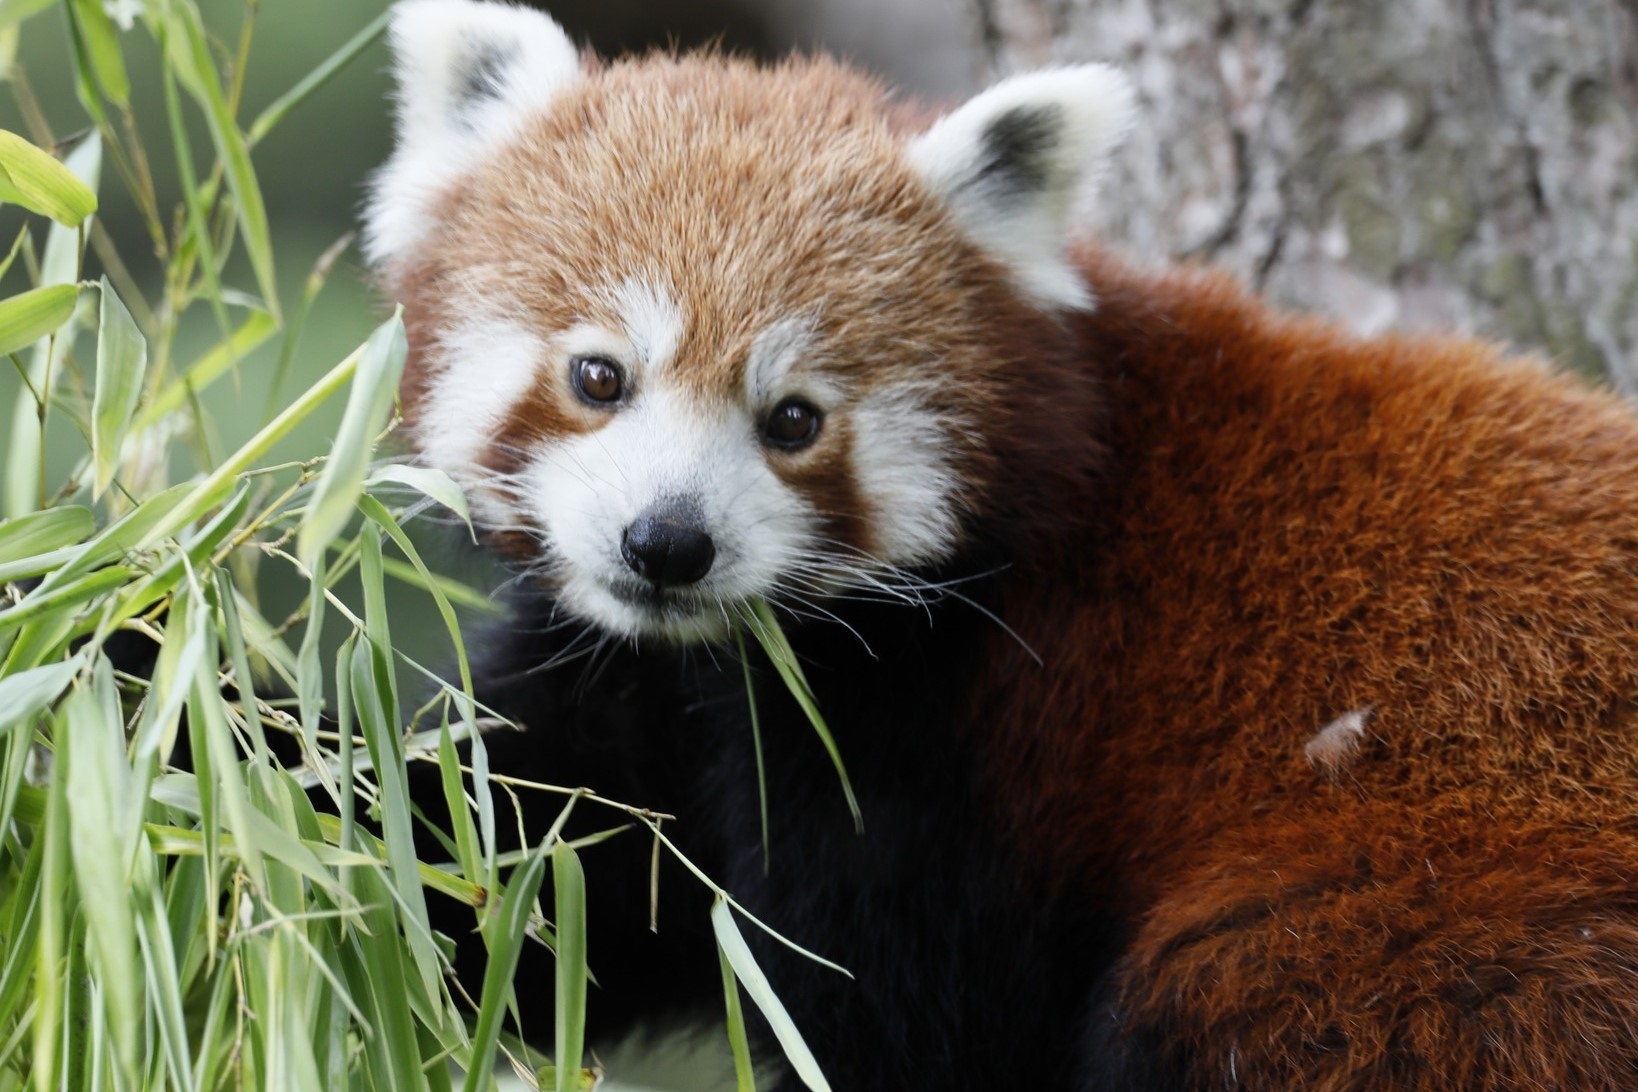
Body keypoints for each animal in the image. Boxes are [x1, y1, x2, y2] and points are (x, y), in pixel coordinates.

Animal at [371, 2, 1638, 1092]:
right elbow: (515, 844)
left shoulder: (980, 733)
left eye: (794, 419)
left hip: (1424, 911)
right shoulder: (645, 696)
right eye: (600, 376)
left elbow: (914, 1026)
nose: (668, 543)